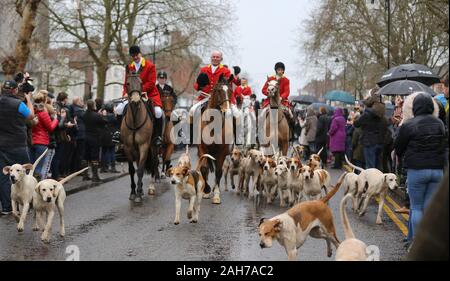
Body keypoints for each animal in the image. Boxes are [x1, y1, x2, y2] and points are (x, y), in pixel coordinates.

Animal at [120, 70, 159, 201]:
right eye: (127, 83)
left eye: (141, 83)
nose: (136, 100)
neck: (135, 119)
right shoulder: (127, 147)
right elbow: (132, 170)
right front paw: (133, 192)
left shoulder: (143, 146)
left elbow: (141, 170)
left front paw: (138, 193)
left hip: (153, 146)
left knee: (154, 163)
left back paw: (151, 187)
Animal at [197, 74, 234, 203]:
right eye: (218, 90)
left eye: (231, 91)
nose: (226, 110)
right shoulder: (203, 149)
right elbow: (204, 168)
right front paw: (206, 190)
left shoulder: (221, 152)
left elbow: (218, 171)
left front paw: (216, 194)